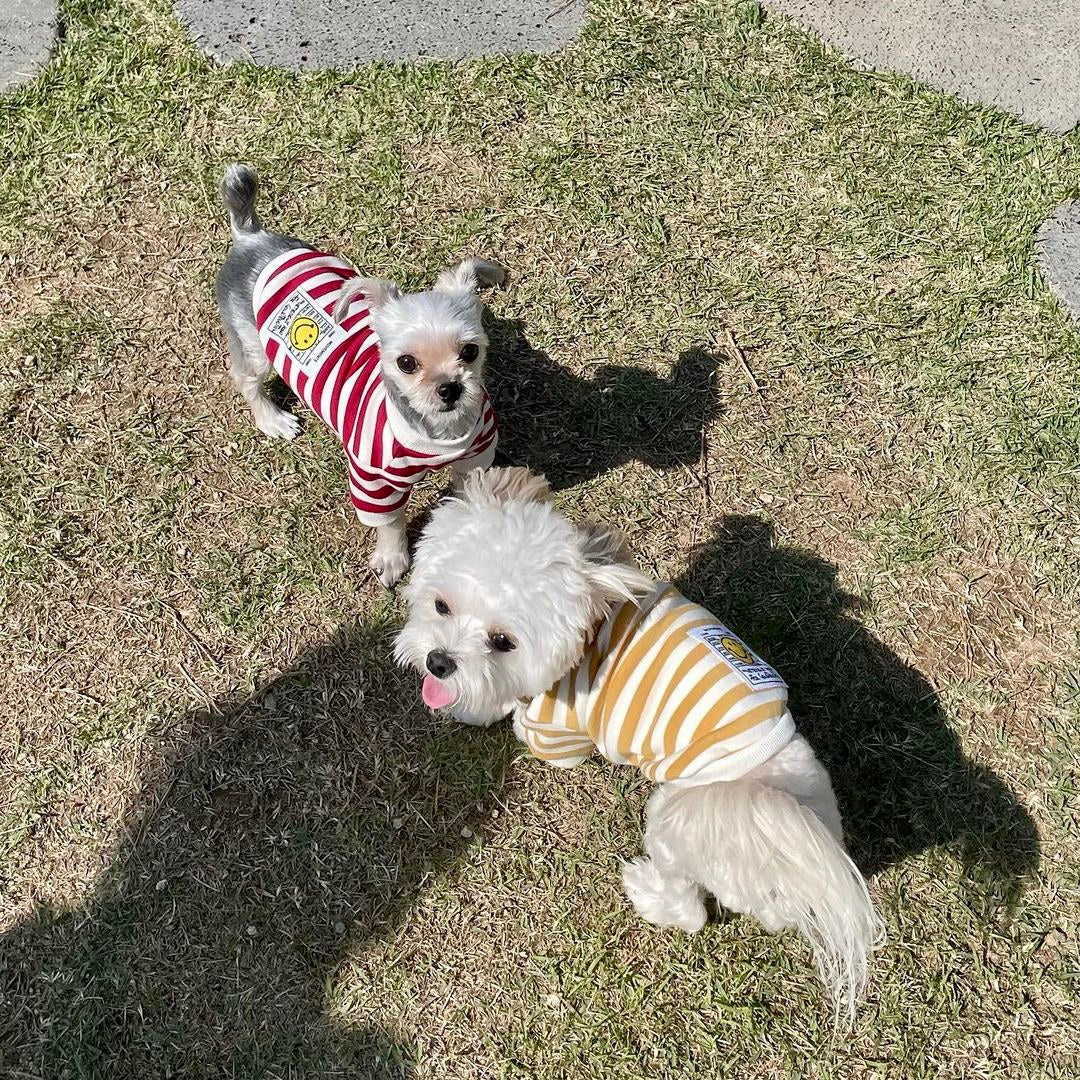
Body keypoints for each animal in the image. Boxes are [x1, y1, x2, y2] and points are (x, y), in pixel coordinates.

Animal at [397, 468, 885, 1015]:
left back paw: (645, 891)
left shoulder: (560, 729)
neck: (594, 629)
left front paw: (478, 707)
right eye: (441, 605)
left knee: (691, 910)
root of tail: (800, 863)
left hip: (677, 819)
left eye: (503, 642)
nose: (439, 661)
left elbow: (527, 723)